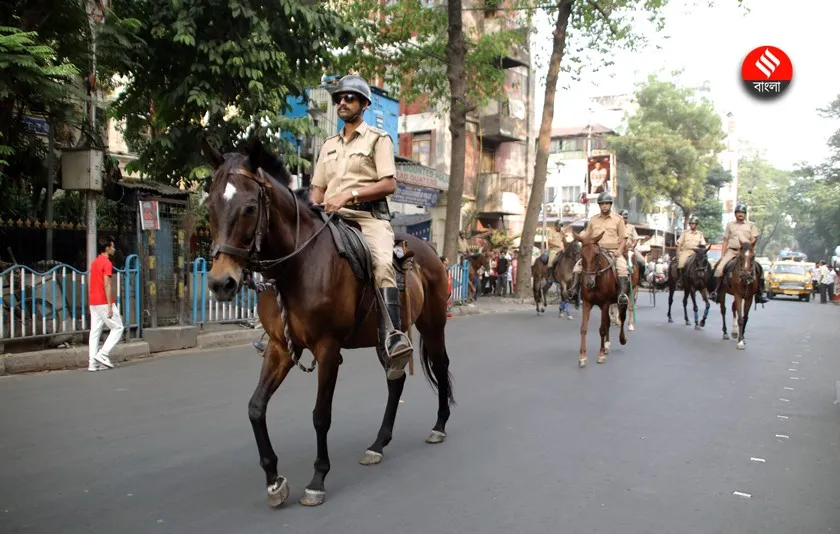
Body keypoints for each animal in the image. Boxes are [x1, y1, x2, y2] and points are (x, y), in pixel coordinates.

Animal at [202, 138, 452, 510]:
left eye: (249, 207)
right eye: (210, 207)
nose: (221, 283)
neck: (295, 266)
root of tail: (430, 250)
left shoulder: (328, 349)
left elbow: (321, 415)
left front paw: (317, 480)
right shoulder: (279, 348)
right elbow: (256, 408)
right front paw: (273, 480)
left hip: (433, 325)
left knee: (440, 365)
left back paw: (439, 425)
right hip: (382, 339)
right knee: (395, 382)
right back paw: (378, 444)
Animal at [576, 230, 628, 368]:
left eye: (596, 254)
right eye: (581, 254)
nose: (589, 282)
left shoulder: (605, 303)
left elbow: (602, 329)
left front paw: (601, 355)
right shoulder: (587, 303)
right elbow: (583, 328)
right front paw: (582, 356)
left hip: (622, 301)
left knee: (622, 318)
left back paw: (622, 339)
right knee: (608, 322)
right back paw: (607, 345)